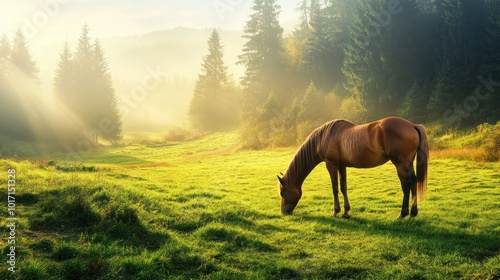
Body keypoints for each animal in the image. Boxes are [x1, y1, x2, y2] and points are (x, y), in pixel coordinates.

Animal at [280, 116, 428, 219]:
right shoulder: (342, 166)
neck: (324, 137)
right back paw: (412, 213)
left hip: (401, 164)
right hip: (408, 164)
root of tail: (412, 125)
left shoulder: (331, 164)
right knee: (413, 182)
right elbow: (343, 187)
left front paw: (336, 212)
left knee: (406, 185)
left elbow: (335, 189)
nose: (284, 212)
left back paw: (403, 214)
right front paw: (346, 212)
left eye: (282, 192)